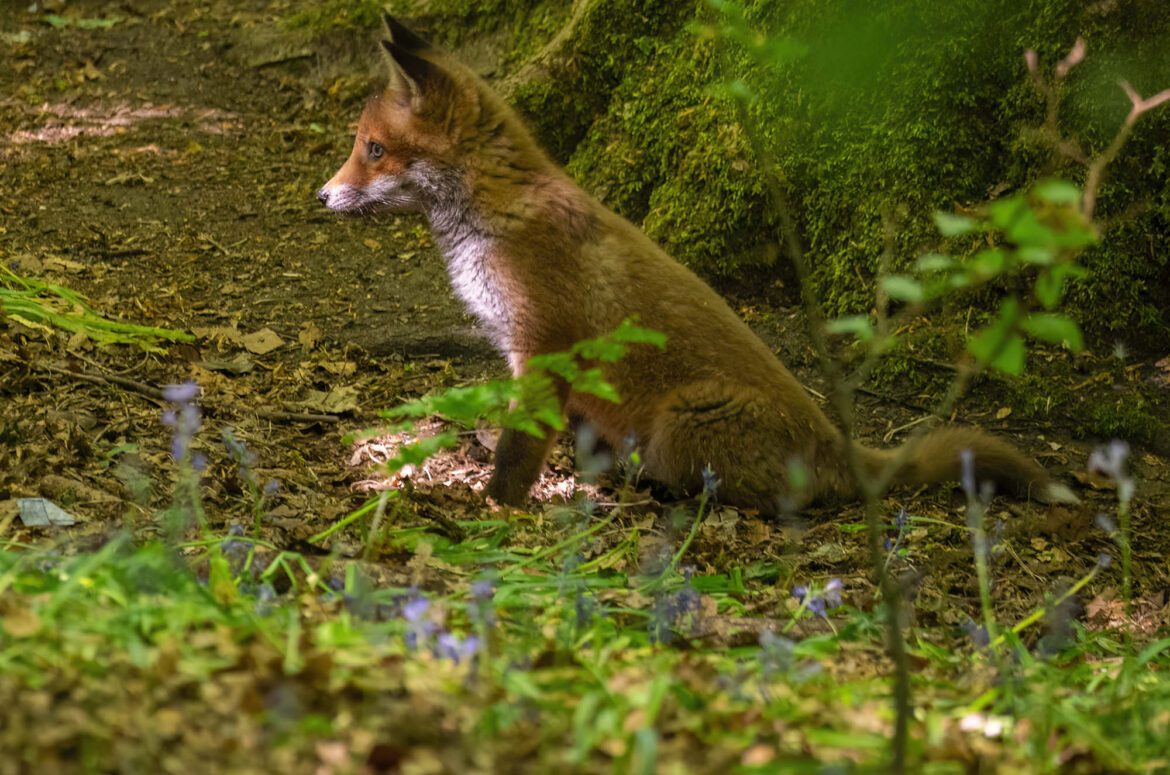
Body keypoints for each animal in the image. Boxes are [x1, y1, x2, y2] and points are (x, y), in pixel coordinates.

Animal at [317, 14, 1078, 515]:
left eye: (373, 149)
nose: (322, 194)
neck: (500, 217)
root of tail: (840, 445)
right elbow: (576, 441)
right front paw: (582, 483)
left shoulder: (544, 350)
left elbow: (517, 453)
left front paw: (496, 508)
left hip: (682, 422)